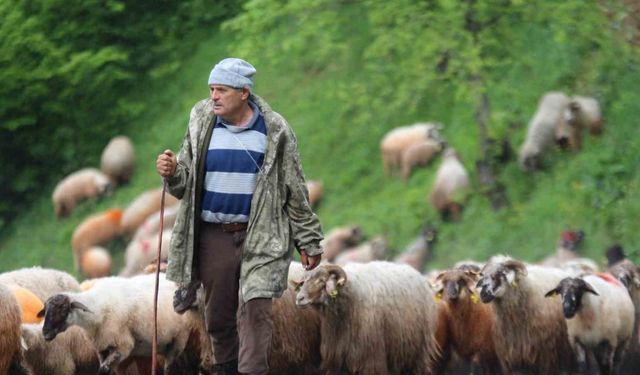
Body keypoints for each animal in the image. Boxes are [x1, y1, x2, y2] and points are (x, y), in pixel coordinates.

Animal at [38, 274, 208, 375]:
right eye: (45, 311)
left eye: (63, 309)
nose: (45, 332)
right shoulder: (103, 348)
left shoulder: (123, 346)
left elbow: (102, 371)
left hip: (179, 340)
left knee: (170, 368)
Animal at [296, 262, 440, 375]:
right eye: (304, 280)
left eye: (321, 280)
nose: (299, 298)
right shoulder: (336, 360)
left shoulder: (371, 360)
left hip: (418, 353)